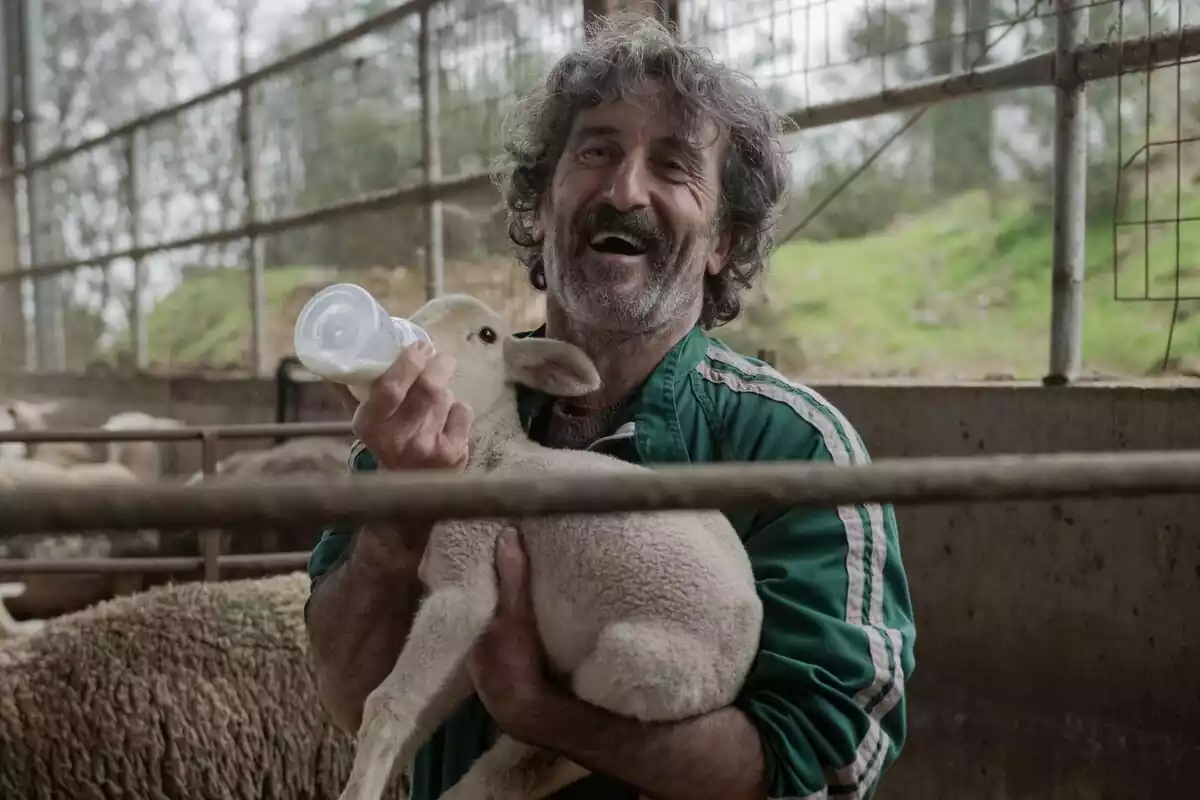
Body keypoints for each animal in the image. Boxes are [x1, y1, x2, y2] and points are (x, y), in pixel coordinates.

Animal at [336, 296, 768, 800]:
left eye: (487, 336)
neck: (492, 457)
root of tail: (740, 667)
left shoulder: (468, 575)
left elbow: (390, 702)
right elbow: (421, 713)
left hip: (641, 667)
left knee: (555, 748)